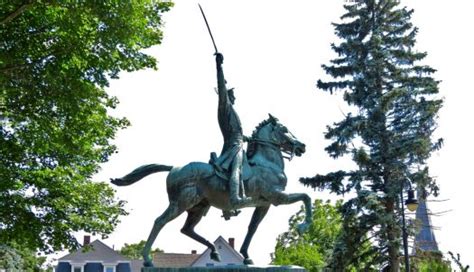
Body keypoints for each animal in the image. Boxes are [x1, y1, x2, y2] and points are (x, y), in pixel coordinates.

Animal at [110, 114, 312, 266]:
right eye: (284, 129)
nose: (302, 146)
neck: (266, 163)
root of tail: (174, 168)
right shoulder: (277, 197)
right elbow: (306, 196)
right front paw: (304, 225)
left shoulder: (264, 204)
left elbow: (252, 228)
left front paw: (246, 256)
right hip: (182, 203)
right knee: (160, 221)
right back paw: (147, 259)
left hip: (198, 207)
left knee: (187, 229)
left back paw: (214, 252)